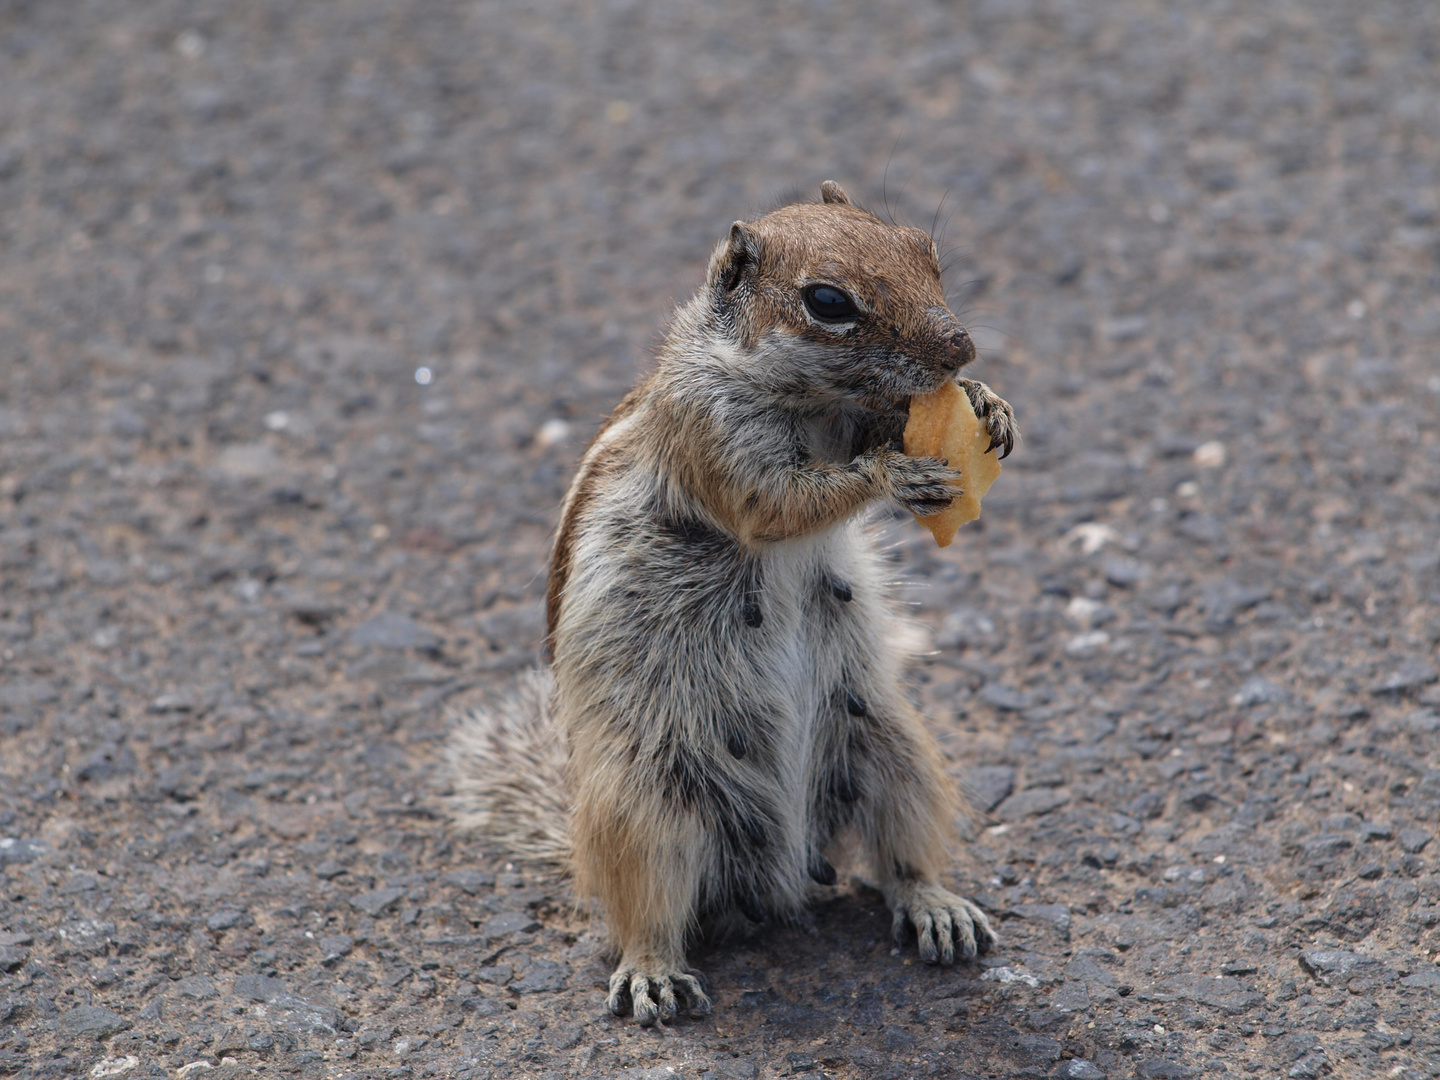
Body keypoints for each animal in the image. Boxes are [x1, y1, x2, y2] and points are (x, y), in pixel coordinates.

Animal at [449, 182, 1013, 1025]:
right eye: (827, 302)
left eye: (925, 249)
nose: (961, 351)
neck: (812, 404)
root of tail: (777, 883)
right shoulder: (711, 437)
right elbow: (776, 504)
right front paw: (893, 473)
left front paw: (988, 404)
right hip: (645, 808)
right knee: (648, 914)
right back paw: (652, 972)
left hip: (892, 750)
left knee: (900, 856)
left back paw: (936, 905)